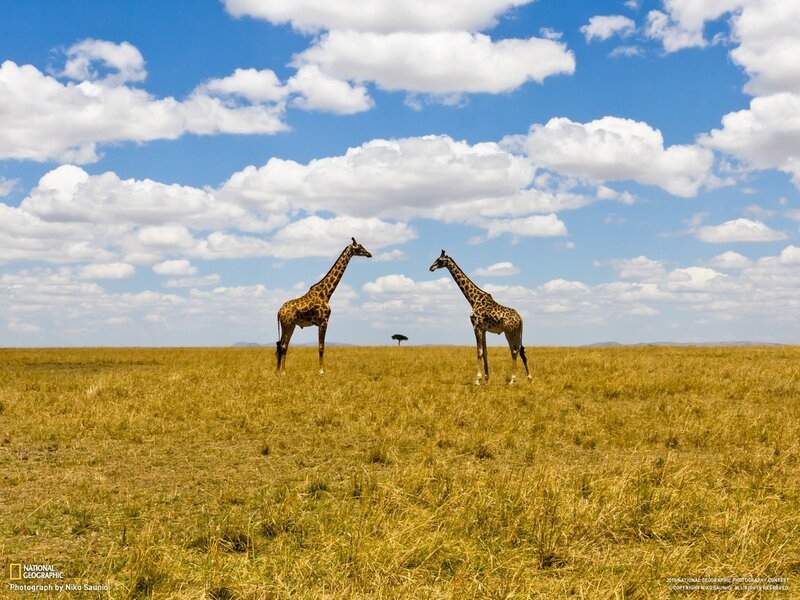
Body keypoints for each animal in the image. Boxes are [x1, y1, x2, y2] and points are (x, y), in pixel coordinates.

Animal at [276, 238, 372, 375]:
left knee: (281, 344)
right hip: (287, 324)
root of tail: (279, 311)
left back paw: (279, 371)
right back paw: (283, 372)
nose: (369, 254)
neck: (326, 293)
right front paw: (321, 371)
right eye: (359, 247)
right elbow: (321, 347)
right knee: (283, 345)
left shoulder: (321, 322)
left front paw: (321, 370)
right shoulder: (324, 321)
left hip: (290, 325)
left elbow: (320, 346)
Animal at [430, 250, 532, 385]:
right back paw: (529, 377)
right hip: (517, 332)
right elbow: (485, 352)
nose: (431, 268)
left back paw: (512, 380)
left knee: (514, 351)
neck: (473, 299)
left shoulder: (476, 326)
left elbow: (479, 351)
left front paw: (477, 380)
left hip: (509, 332)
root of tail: (520, 320)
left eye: (439, 260)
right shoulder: (483, 329)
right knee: (521, 350)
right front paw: (486, 379)